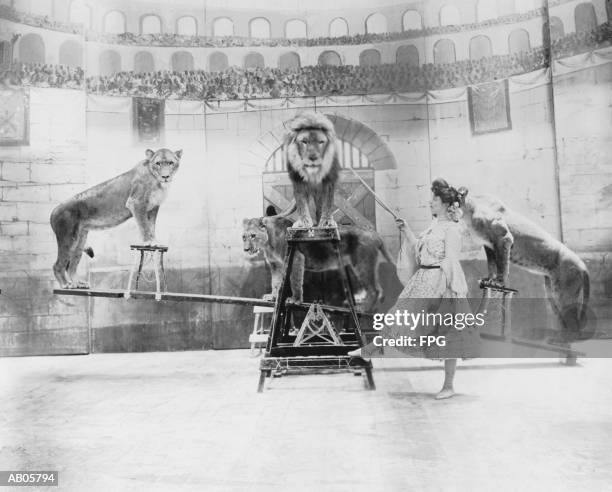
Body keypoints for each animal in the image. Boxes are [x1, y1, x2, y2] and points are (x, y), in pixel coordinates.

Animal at [51, 148, 180, 290]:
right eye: (158, 163)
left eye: (170, 163)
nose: (165, 176)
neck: (157, 181)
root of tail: (53, 211)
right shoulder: (136, 203)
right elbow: (144, 226)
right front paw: (148, 242)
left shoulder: (153, 208)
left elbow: (151, 226)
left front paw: (154, 241)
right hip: (68, 238)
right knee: (58, 265)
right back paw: (65, 284)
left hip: (80, 239)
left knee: (72, 266)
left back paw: (78, 284)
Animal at [241, 214, 394, 310]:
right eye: (244, 237)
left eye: (253, 235)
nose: (246, 249)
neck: (268, 243)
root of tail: (374, 233)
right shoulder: (276, 265)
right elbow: (276, 282)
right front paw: (272, 297)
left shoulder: (296, 258)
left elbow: (295, 281)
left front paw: (295, 300)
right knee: (378, 290)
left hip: (362, 264)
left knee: (375, 290)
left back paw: (364, 309)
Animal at [462, 190, 592, 336]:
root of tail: (583, 265)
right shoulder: (489, 245)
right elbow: (492, 265)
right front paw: (488, 280)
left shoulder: (503, 238)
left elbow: (502, 264)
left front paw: (498, 282)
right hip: (551, 296)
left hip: (564, 294)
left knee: (574, 326)